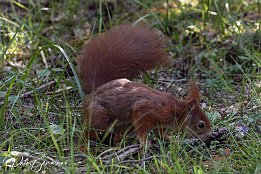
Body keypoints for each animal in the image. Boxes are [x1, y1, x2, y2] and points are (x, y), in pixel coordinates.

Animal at [76, 23, 210, 145]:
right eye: (201, 125)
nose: (210, 135)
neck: (174, 109)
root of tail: (94, 91)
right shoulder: (147, 110)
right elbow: (142, 127)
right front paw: (144, 142)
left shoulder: (159, 124)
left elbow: (160, 133)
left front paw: (171, 139)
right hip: (99, 118)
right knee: (87, 133)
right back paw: (83, 147)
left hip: (125, 125)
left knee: (117, 136)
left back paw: (118, 145)